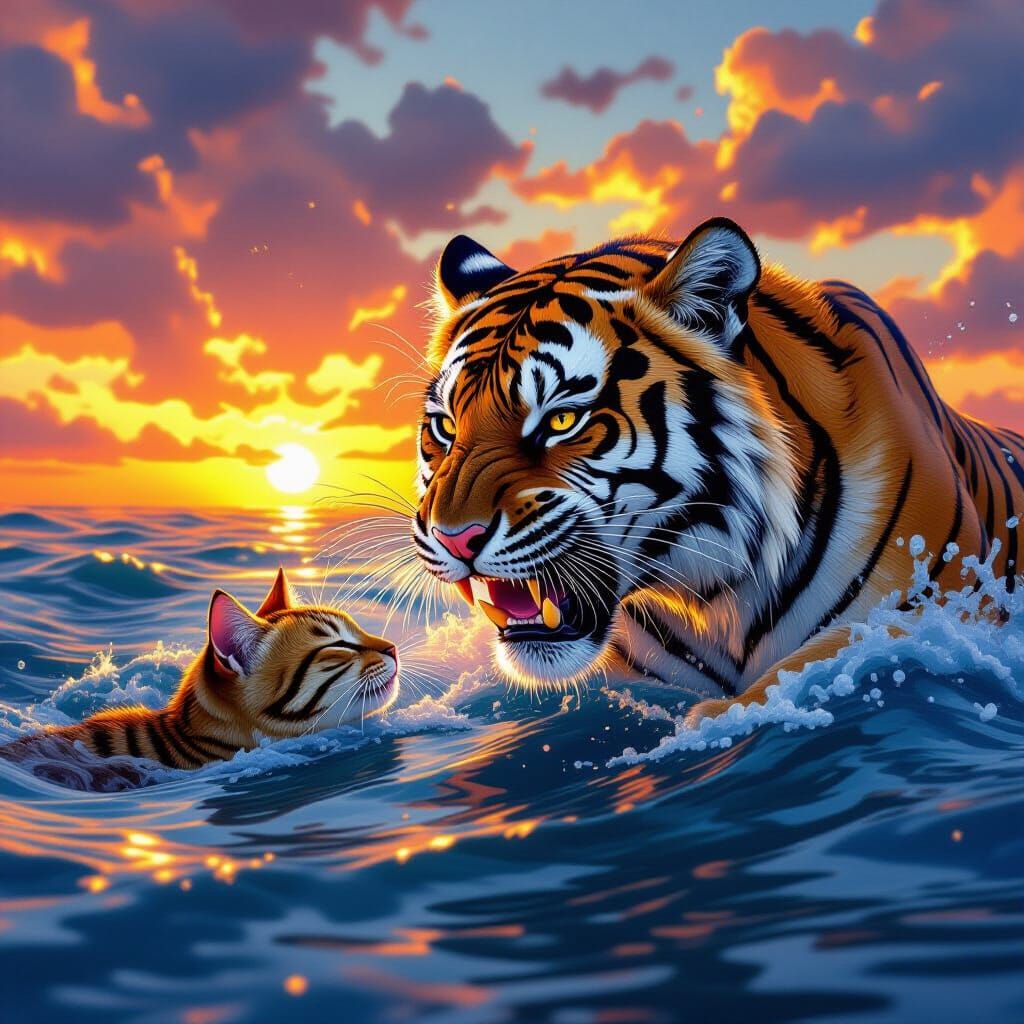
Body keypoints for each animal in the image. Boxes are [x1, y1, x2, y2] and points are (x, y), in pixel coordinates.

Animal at [411, 216, 1024, 723]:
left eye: (562, 418)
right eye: (446, 427)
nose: (454, 538)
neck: (718, 597)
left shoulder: (928, 611)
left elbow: (807, 665)